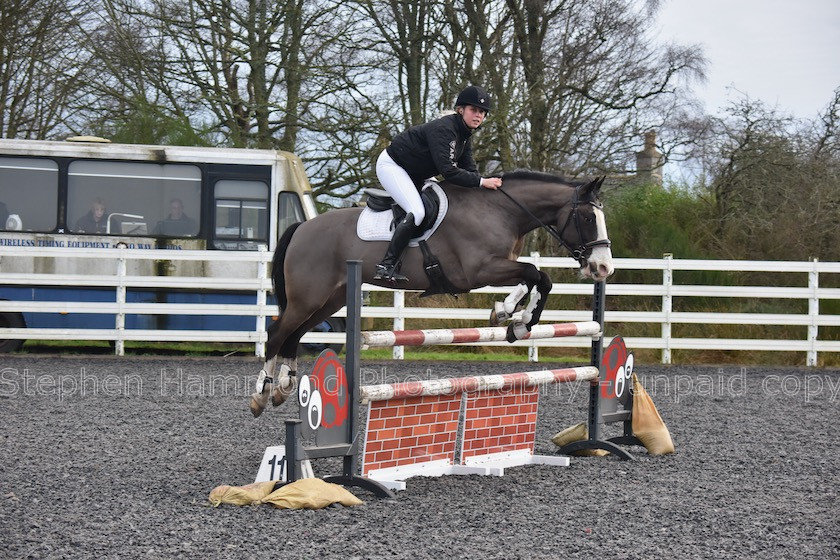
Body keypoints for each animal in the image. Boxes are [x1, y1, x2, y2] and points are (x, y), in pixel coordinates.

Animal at [246, 171, 612, 416]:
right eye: (586, 217)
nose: (603, 268)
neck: (500, 211)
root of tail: (301, 228)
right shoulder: (477, 271)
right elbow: (537, 273)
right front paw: (520, 319)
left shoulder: (499, 265)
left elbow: (533, 277)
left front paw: (510, 316)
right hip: (308, 297)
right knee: (277, 332)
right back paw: (262, 394)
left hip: (327, 300)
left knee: (295, 335)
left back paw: (283, 389)